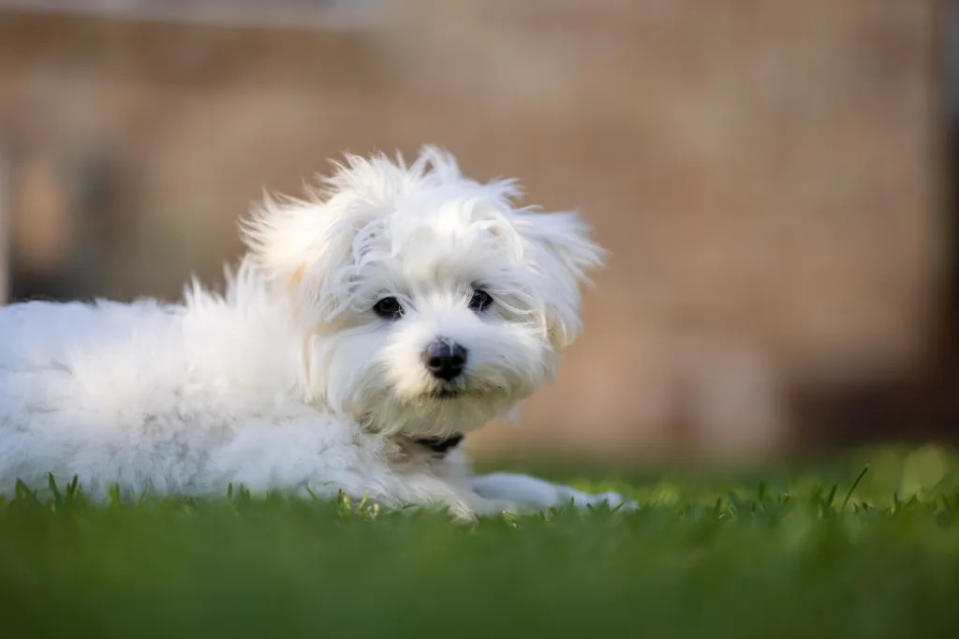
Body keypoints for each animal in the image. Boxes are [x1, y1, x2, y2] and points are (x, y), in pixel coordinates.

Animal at [0, 148, 632, 516]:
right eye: (386, 306)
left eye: (480, 299)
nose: (446, 355)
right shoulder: (290, 468)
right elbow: (450, 498)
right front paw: (499, 514)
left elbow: (512, 482)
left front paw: (592, 499)